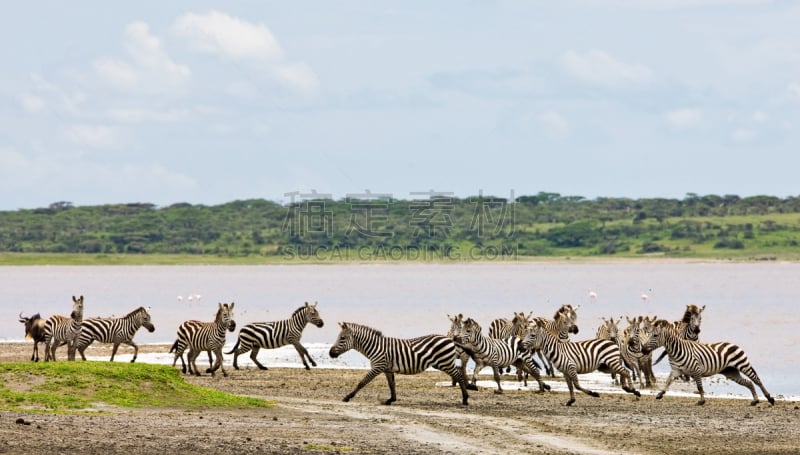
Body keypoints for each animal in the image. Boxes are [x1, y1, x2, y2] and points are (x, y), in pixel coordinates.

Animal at [330, 320, 468, 406]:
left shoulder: (377, 366)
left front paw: (348, 397)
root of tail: (450, 339)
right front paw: (391, 399)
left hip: (445, 363)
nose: (330, 353)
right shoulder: (387, 368)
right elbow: (392, 385)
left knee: (459, 376)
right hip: (444, 363)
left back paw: (465, 399)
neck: (375, 347)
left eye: (342, 338)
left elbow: (362, 382)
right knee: (458, 374)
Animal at [636, 318, 776, 408]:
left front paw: (702, 401)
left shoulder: (696, 369)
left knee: (757, 380)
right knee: (749, 383)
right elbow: (668, 381)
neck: (675, 351)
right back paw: (755, 401)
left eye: (655, 335)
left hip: (743, 365)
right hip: (731, 372)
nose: (643, 349)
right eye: (649, 334)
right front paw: (660, 394)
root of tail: (734, 344)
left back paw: (770, 398)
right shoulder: (676, 370)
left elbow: (699, 387)